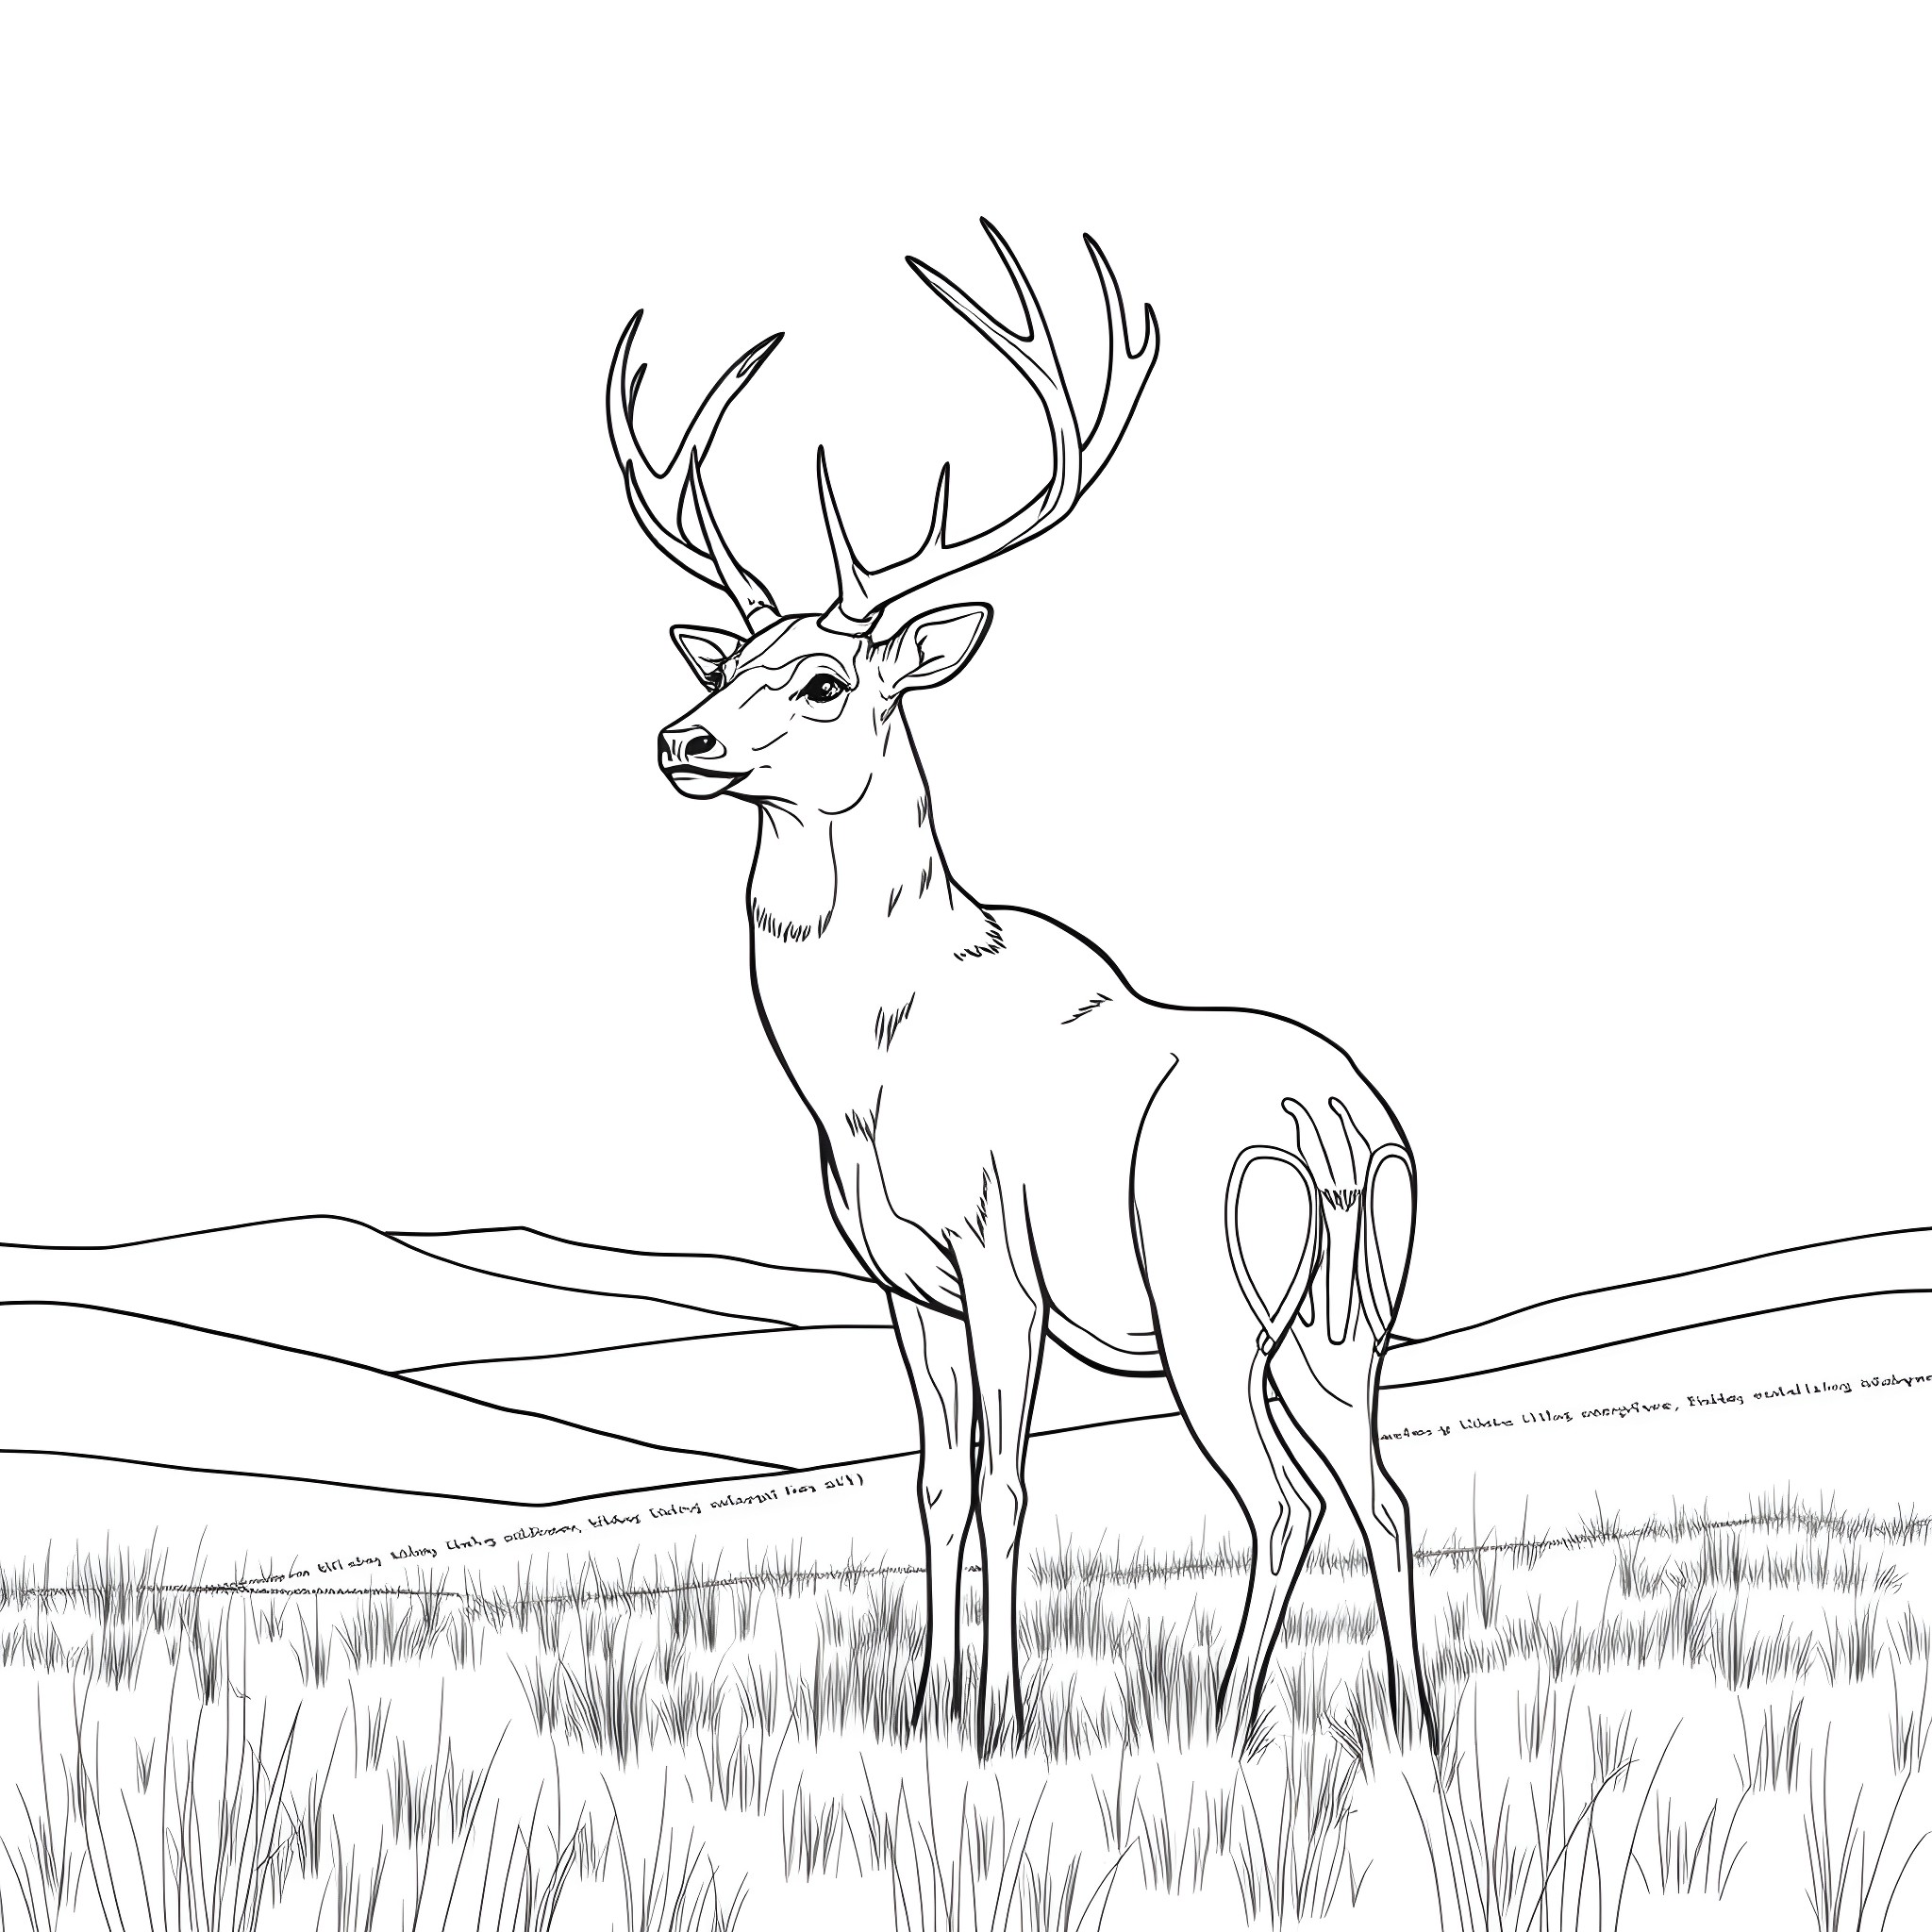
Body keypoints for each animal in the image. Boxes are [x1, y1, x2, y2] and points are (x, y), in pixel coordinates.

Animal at [604, 220, 1435, 1755]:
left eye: (823, 681)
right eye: (731, 659)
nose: (680, 739)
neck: (867, 1071)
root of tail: (1337, 1130)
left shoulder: (1000, 1260)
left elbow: (1004, 1485)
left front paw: (1000, 1721)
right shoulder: (903, 1280)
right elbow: (932, 1483)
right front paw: (923, 1709)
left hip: (1205, 1301)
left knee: (1282, 1496)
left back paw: (1225, 1724)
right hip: (1348, 1326)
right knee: (1382, 1491)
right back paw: (1407, 1726)